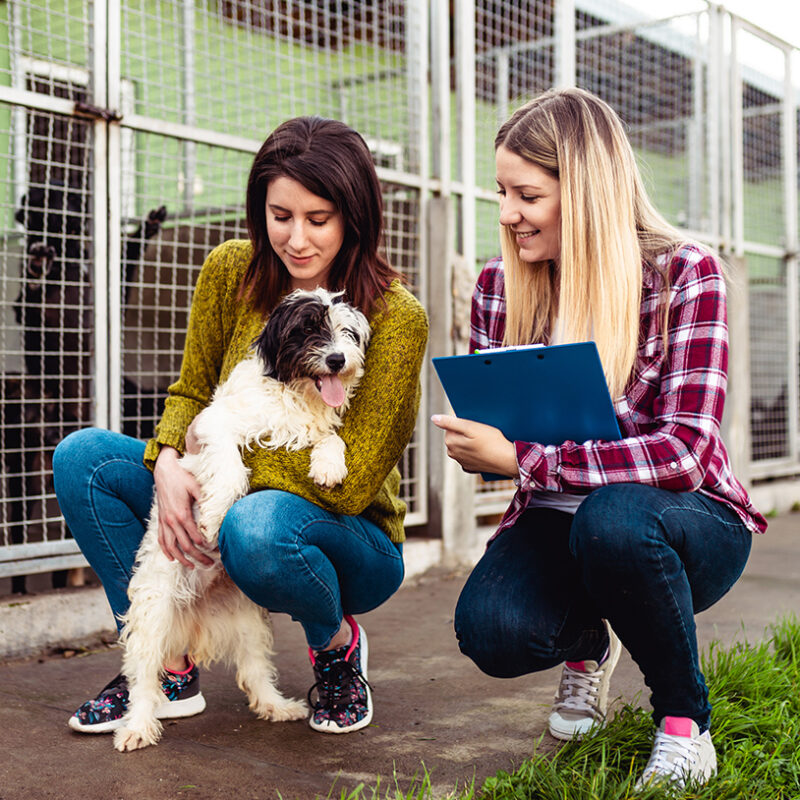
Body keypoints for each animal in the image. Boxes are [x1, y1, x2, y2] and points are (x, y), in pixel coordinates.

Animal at [112, 288, 372, 752]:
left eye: (347, 331)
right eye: (309, 328)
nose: (338, 359)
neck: (293, 392)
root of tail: (196, 608)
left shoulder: (313, 428)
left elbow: (332, 439)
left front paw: (328, 466)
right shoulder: (215, 425)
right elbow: (230, 466)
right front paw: (216, 514)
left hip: (249, 620)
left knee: (255, 670)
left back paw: (276, 706)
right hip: (154, 611)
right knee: (143, 677)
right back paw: (138, 726)